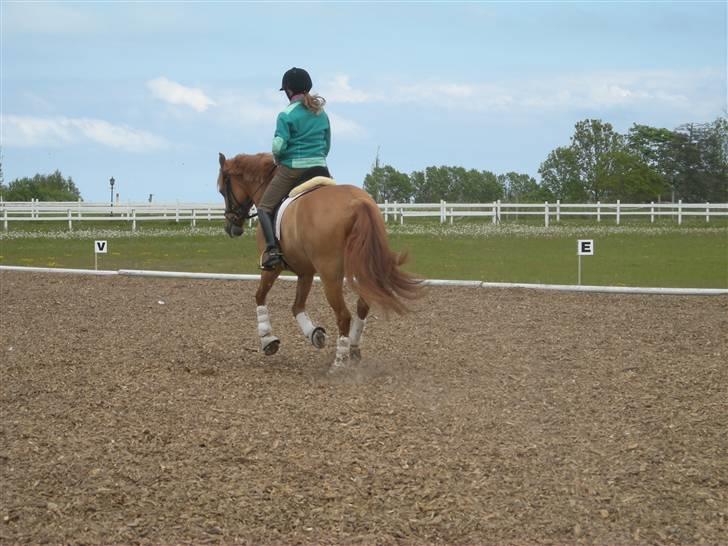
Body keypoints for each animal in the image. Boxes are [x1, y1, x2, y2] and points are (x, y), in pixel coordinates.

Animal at [216, 151, 420, 372]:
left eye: (222, 190)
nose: (231, 228)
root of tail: (358, 203)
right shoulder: (305, 271)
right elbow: (296, 306)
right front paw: (315, 335)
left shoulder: (272, 268)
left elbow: (260, 296)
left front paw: (268, 340)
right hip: (361, 268)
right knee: (362, 306)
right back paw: (353, 350)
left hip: (330, 276)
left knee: (343, 315)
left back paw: (339, 363)